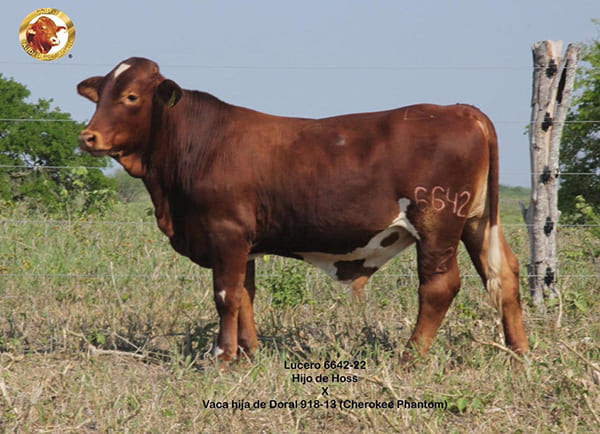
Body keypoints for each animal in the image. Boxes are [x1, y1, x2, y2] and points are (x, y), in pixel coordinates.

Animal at [77, 57, 529, 364]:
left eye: (131, 97)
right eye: (100, 96)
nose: (88, 136)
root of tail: (459, 109)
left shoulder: (225, 232)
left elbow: (225, 295)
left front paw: (222, 358)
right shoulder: (245, 241)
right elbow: (245, 294)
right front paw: (249, 354)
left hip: (437, 221)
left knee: (439, 286)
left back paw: (409, 358)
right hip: (476, 220)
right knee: (505, 272)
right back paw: (519, 353)